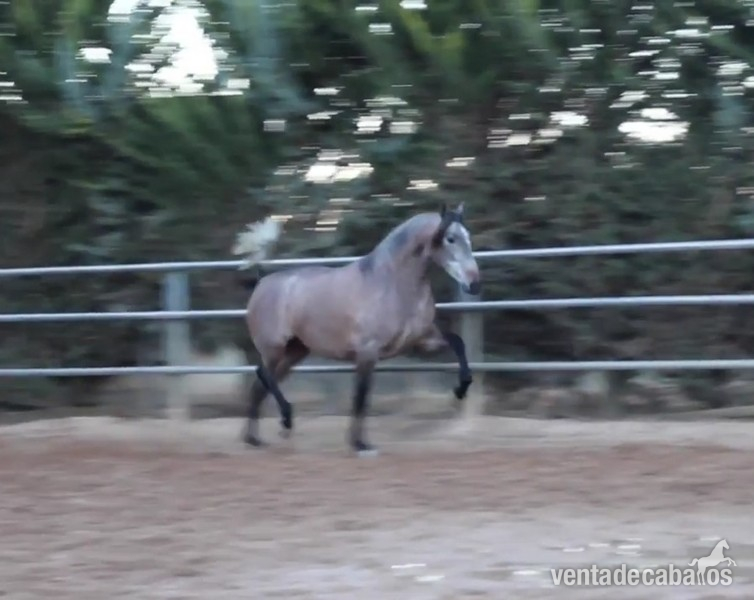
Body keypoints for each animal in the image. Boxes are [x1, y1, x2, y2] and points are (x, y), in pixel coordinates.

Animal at [231, 202, 481, 456]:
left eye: (468, 237)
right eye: (450, 238)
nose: (474, 284)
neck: (391, 283)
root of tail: (262, 281)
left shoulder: (422, 340)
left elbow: (458, 343)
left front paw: (461, 390)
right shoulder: (368, 352)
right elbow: (361, 397)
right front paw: (360, 444)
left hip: (295, 352)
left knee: (259, 385)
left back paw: (254, 439)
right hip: (273, 348)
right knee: (263, 375)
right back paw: (285, 419)